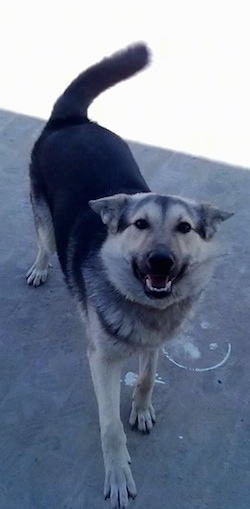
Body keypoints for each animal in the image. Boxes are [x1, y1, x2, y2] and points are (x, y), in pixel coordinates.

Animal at [27, 44, 232, 508]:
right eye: (139, 224)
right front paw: (118, 472)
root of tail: (73, 121)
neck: (140, 304)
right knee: (45, 241)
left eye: (185, 228)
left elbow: (147, 377)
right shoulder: (102, 362)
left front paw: (140, 408)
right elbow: (110, 426)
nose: (160, 262)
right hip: (41, 213)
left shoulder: (154, 344)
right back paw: (41, 267)